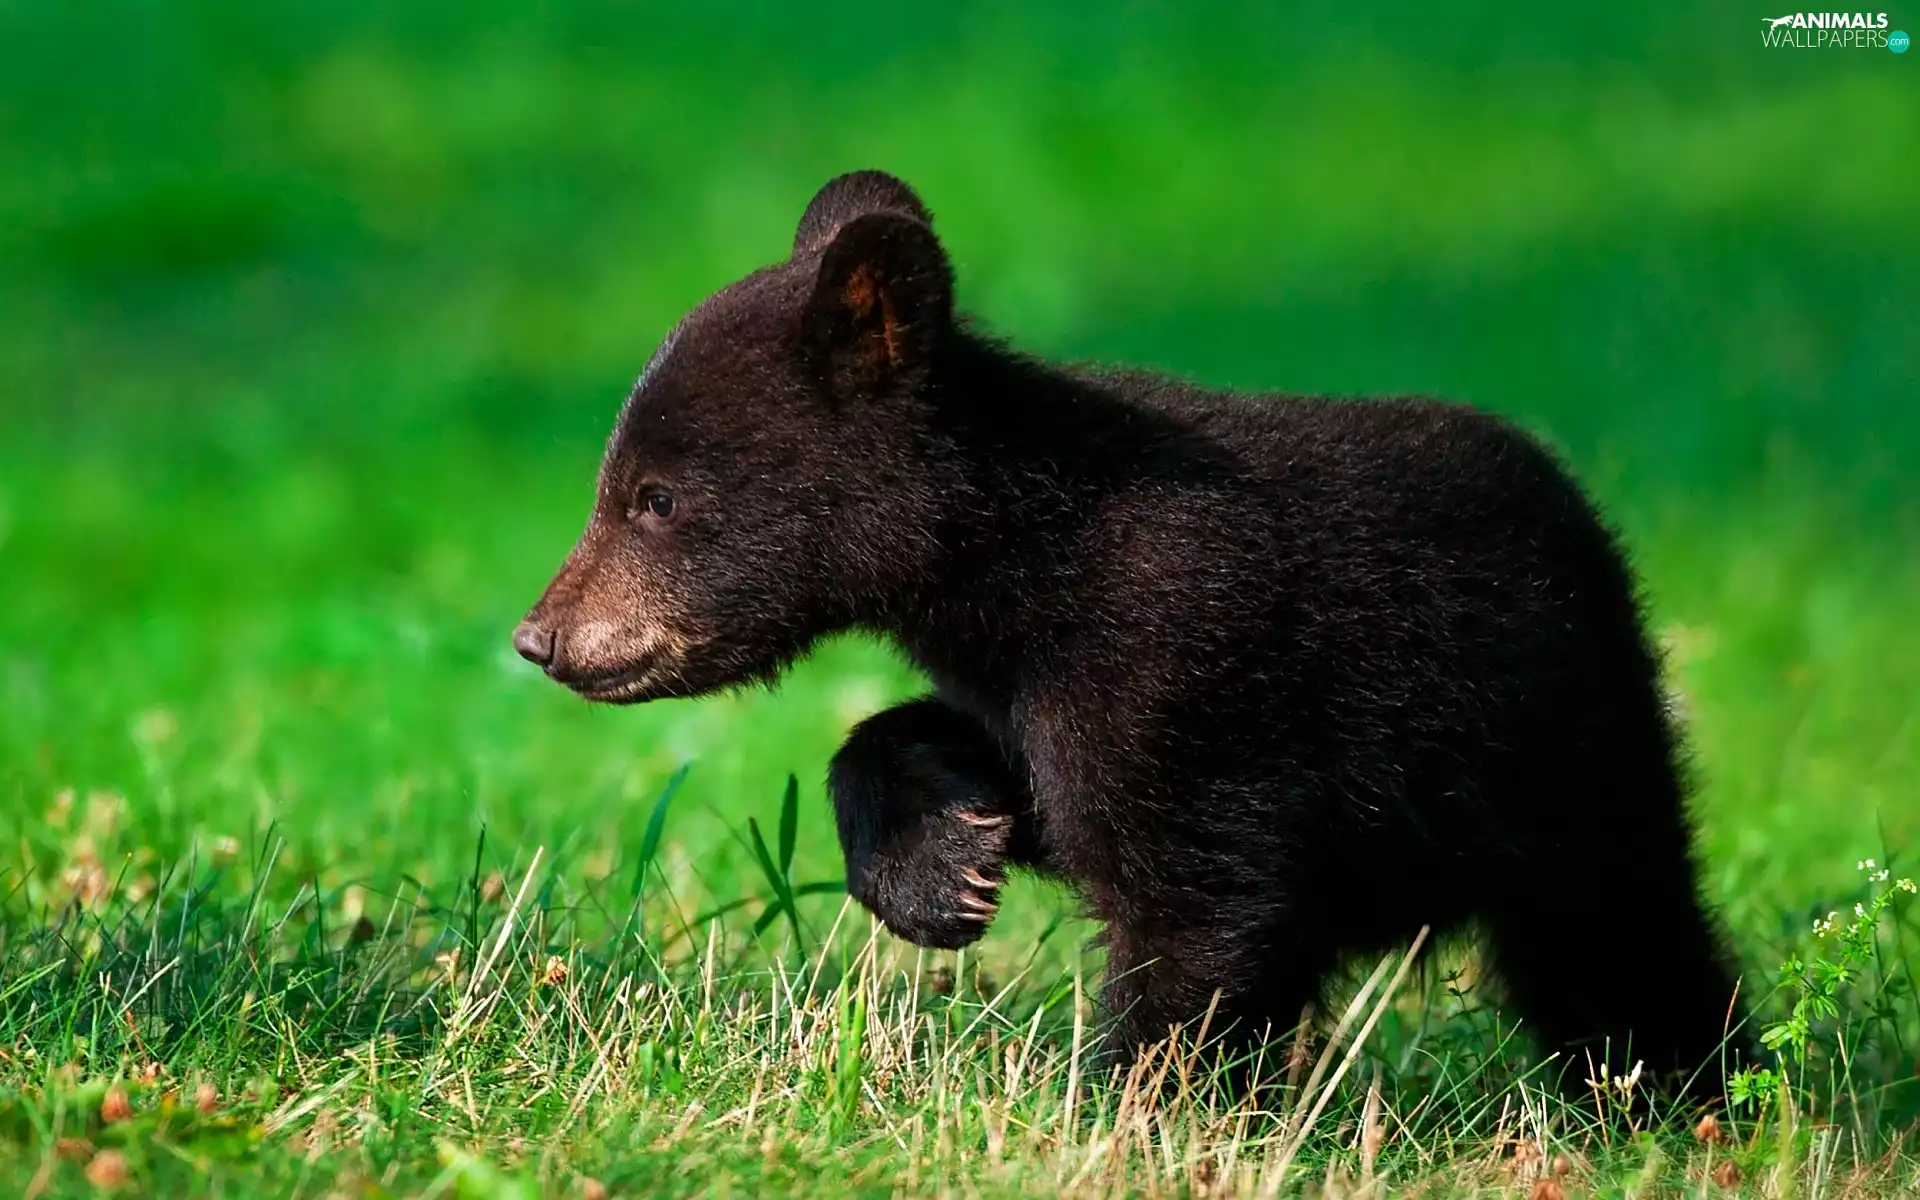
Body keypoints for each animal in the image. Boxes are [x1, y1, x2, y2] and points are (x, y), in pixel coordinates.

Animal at [512, 169, 1745, 1096]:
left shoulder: (1183, 667)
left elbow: (1197, 905)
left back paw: (1690, 1097)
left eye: (653, 497)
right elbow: (1019, 784)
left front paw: (1133, 1107)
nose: (542, 636)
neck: (1024, 559)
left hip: (1563, 751)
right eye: (622, 484)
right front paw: (939, 864)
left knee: (1622, 940)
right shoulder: (1035, 679)